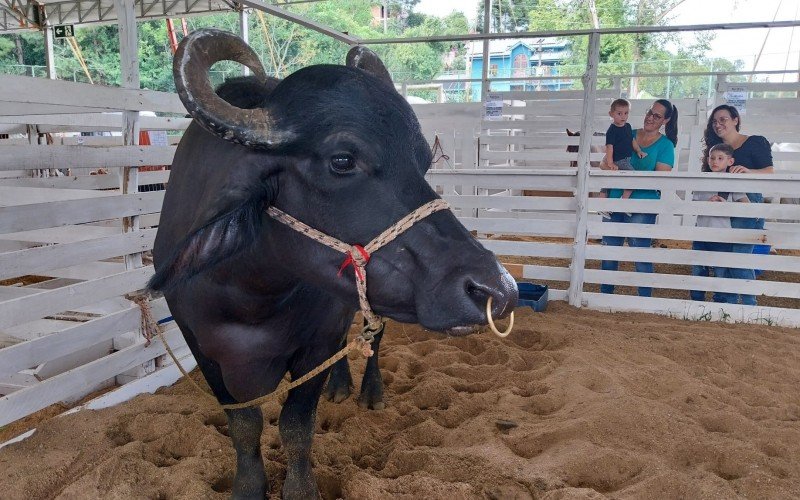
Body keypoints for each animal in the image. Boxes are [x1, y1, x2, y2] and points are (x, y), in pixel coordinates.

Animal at [148, 29, 520, 498]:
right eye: (342, 160)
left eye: (422, 160)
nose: (497, 289)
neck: (251, 295)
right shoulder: (201, 348)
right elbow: (244, 426)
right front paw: (248, 486)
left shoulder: (316, 344)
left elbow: (295, 425)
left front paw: (301, 488)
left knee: (373, 341)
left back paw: (367, 392)